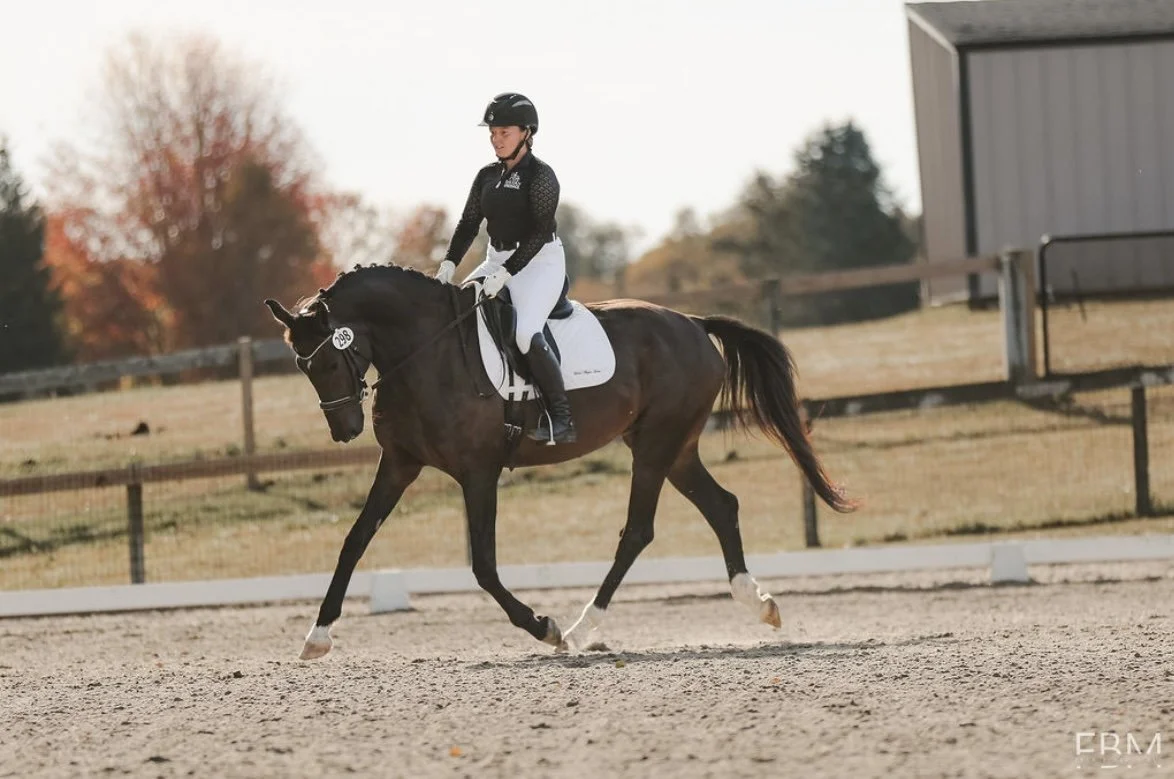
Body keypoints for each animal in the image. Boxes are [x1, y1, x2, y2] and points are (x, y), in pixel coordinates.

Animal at [263, 263, 856, 659]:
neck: (426, 352)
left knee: (638, 530)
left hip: (658, 444)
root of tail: (691, 322)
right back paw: (758, 603)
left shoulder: (478, 473)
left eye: (328, 361)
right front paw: (317, 636)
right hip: (671, 446)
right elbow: (354, 541)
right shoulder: (400, 464)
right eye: (302, 366)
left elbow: (483, 566)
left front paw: (541, 626)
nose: (344, 430)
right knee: (721, 506)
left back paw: (579, 629)